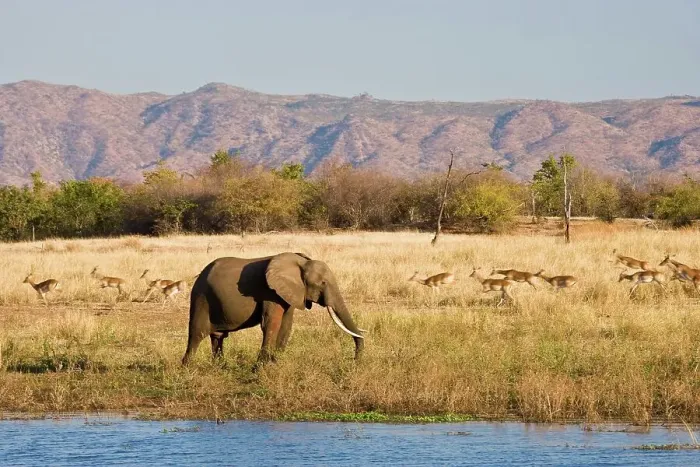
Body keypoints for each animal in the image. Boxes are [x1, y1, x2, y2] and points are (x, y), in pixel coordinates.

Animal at [181, 252, 365, 366]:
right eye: (323, 283)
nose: (354, 361)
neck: (301, 263)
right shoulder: (270, 292)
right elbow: (271, 323)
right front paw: (260, 368)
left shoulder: (289, 293)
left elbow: (286, 325)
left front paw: (275, 363)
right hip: (201, 298)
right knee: (197, 334)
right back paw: (187, 369)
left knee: (217, 337)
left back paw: (219, 367)